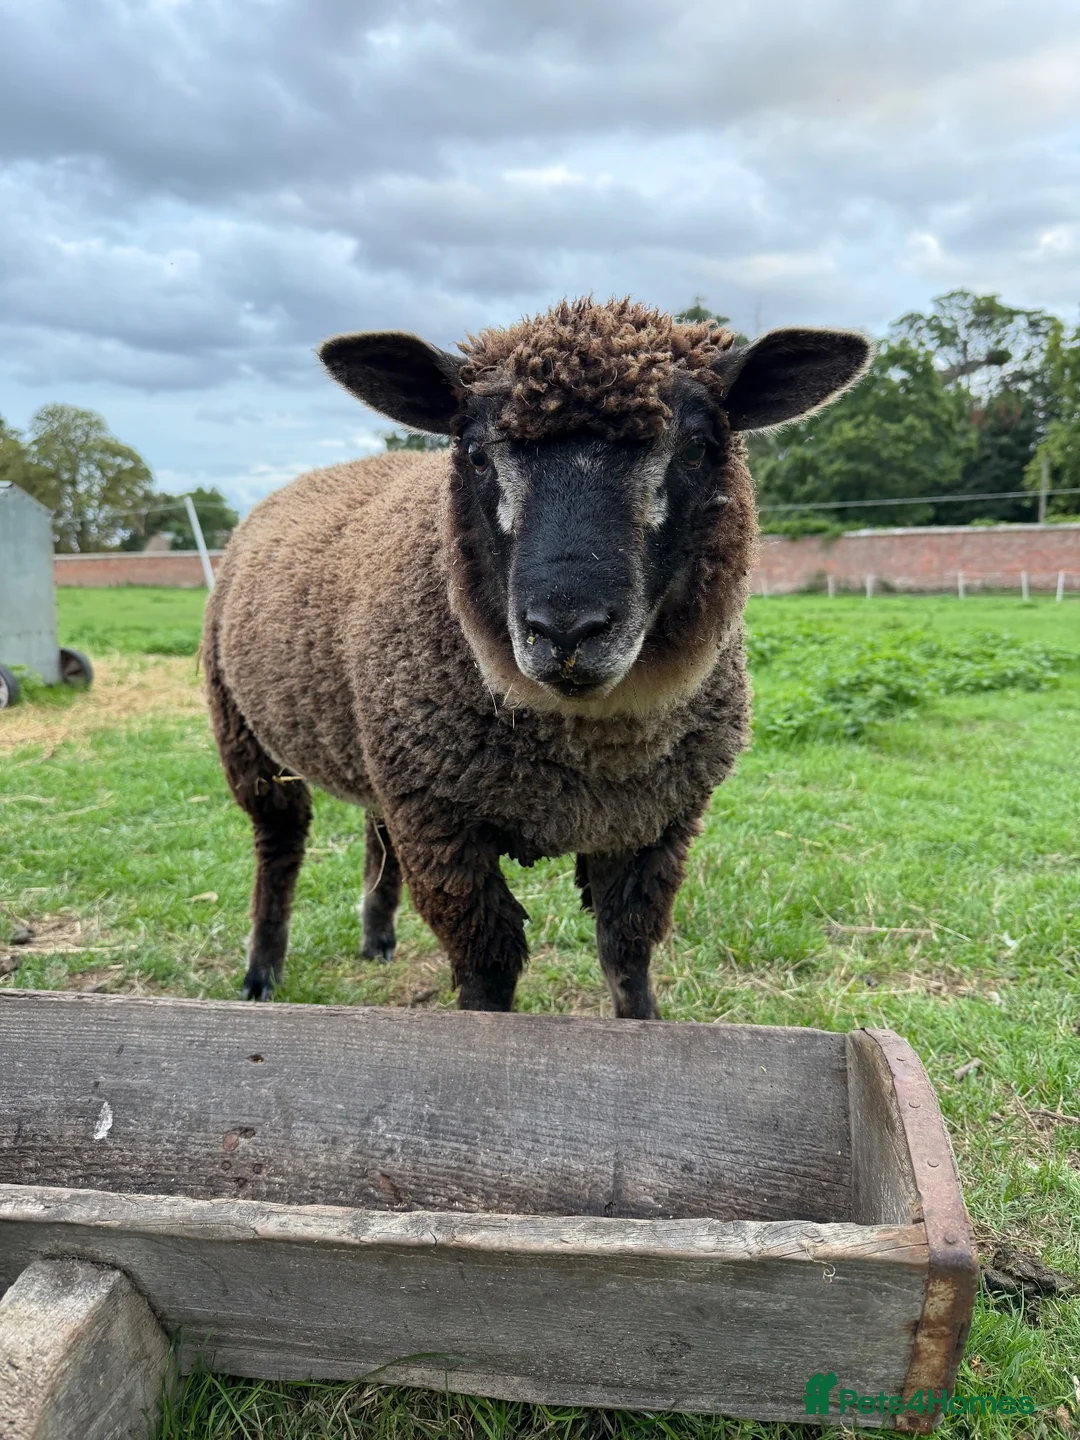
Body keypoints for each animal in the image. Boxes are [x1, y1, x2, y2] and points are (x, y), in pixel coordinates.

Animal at [203, 297, 870, 1014]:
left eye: (697, 448)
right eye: (474, 454)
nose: (567, 630)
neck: (594, 753)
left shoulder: (655, 827)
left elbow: (627, 956)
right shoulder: (442, 833)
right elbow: (489, 969)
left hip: (375, 746)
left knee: (373, 829)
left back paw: (376, 939)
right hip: (249, 737)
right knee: (279, 844)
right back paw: (261, 971)